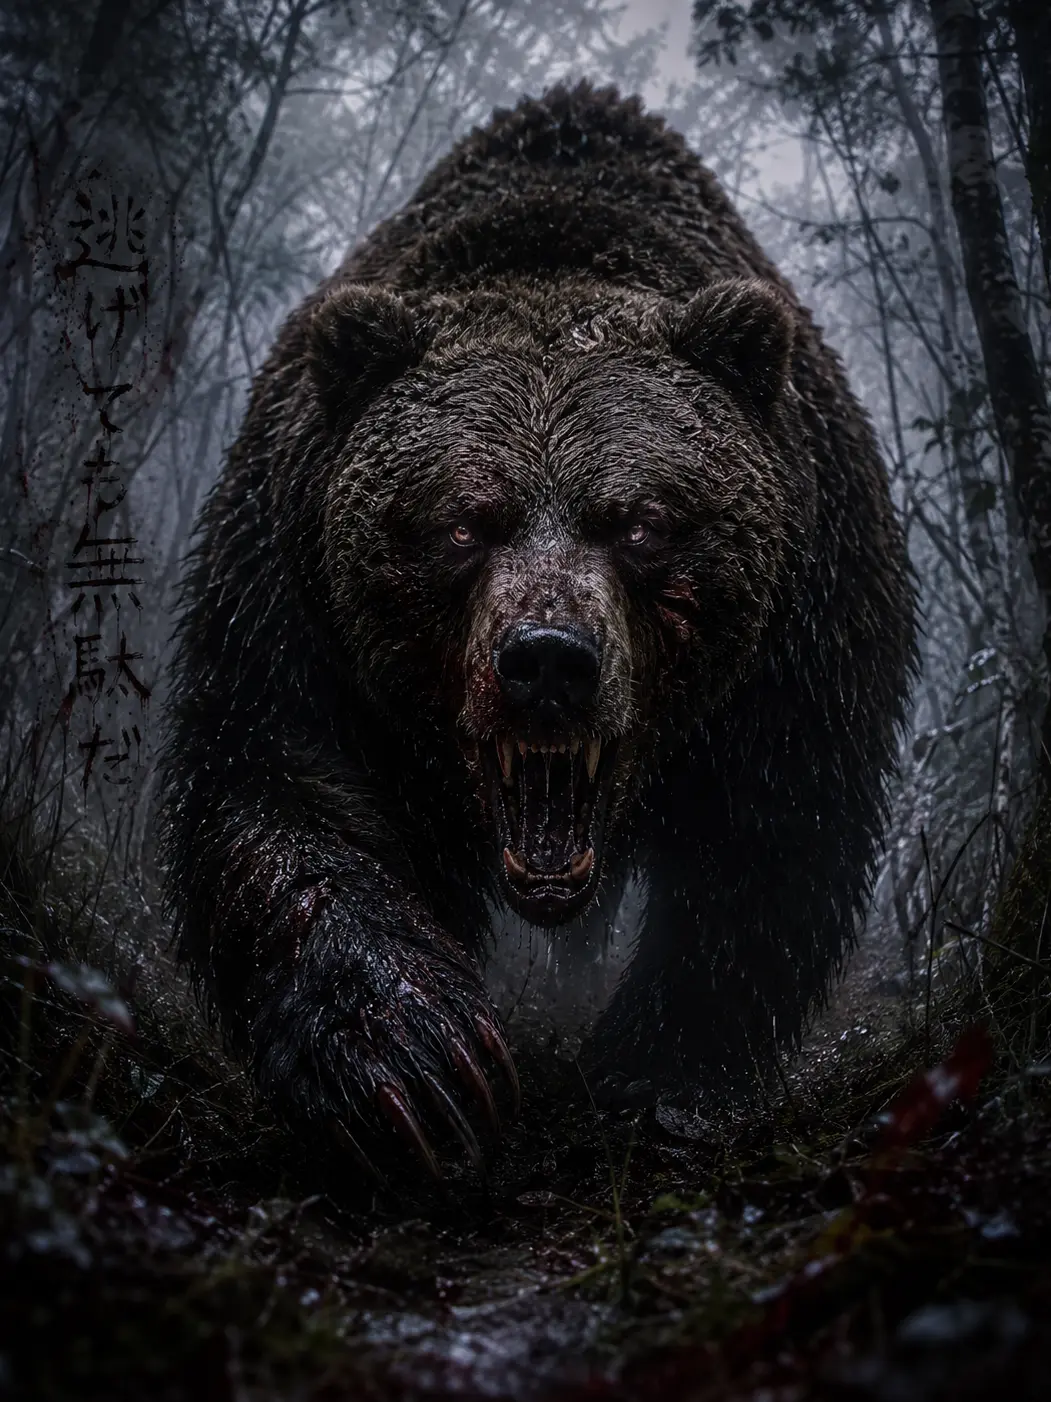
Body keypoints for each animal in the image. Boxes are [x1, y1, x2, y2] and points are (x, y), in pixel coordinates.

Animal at [162, 81, 915, 1177]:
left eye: (641, 521)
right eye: (461, 522)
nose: (548, 662)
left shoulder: (798, 634)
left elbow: (768, 837)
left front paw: (657, 1072)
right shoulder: (290, 595)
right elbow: (281, 782)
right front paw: (416, 1062)